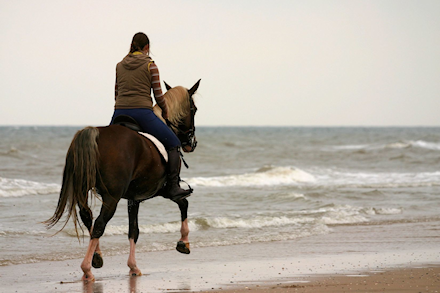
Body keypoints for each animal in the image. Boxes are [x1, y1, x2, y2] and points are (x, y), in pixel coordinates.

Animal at [44, 78, 199, 280]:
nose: (191, 143)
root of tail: (95, 134)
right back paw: (87, 269)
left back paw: (97, 257)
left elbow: (133, 230)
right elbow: (183, 203)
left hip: (85, 190)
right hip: (112, 197)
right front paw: (183, 242)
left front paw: (133, 266)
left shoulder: (134, 198)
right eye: (194, 109)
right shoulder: (165, 190)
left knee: (88, 217)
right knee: (99, 223)